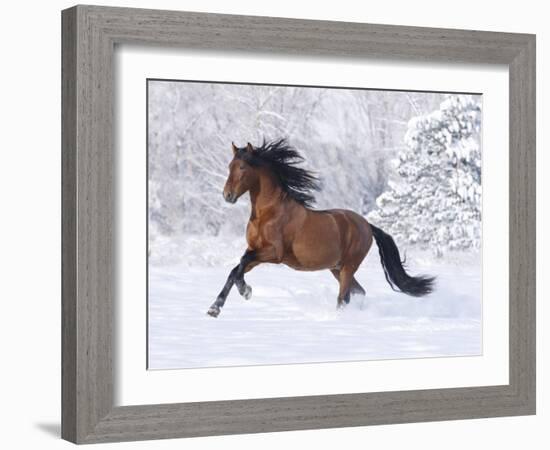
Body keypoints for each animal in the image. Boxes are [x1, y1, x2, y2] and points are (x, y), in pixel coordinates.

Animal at [207, 139, 436, 318]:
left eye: (242, 168)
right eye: (229, 166)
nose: (227, 195)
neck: (268, 214)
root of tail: (367, 225)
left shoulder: (274, 253)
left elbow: (241, 262)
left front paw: (245, 291)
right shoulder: (255, 251)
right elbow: (236, 269)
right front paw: (216, 307)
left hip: (348, 267)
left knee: (343, 297)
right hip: (337, 268)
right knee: (358, 292)